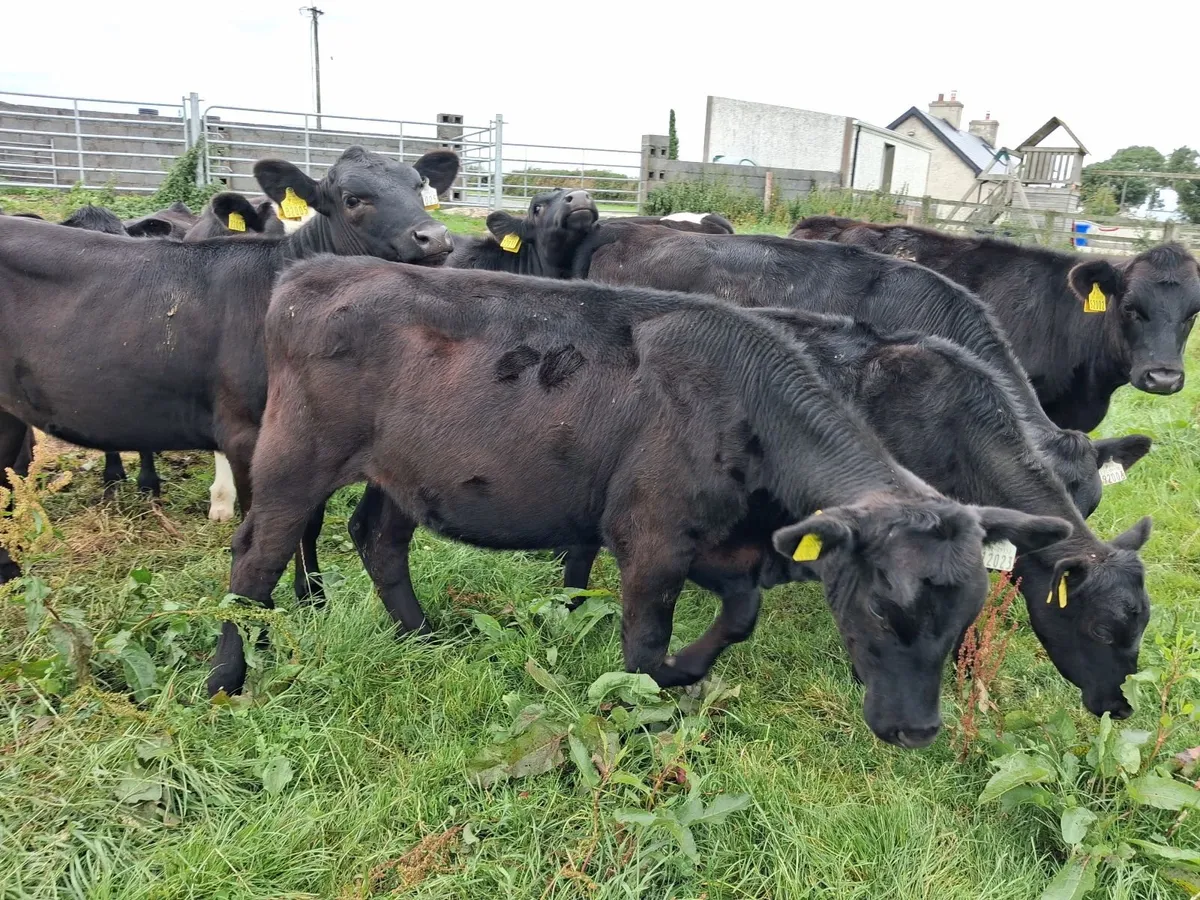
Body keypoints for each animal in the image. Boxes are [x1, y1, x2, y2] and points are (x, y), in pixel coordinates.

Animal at [0, 145, 460, 590]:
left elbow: (307, 523)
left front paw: (312, 595)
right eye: (352, 199)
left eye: (418, 186)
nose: (434, 237)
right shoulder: (247, 436)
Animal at [212, 256, 1069, 748]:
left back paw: (420, 635)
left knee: (378, 538)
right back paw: (227, 680)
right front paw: (641, 704)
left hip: (402, 470)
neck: (747, 405)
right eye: (882, 613)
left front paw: (690, 671)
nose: (917, 732)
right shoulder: (652, 538)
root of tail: (313, 271)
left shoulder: (721, 544)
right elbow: (643, 642)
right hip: (295, 459)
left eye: (964, 619)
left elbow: (738, 618)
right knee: (253, 562)